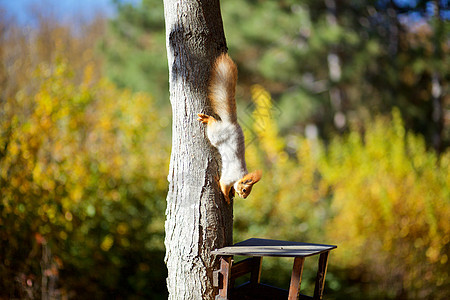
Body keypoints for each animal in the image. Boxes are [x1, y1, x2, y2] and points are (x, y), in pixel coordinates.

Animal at [196, 54, 260, 204]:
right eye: (245, 189)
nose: (244, 197)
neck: (241, 175)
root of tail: (232, 123)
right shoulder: (229, 177)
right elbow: (223, 184)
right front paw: (226, 197)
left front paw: (232, 192)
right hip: (217, 135)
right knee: (213, 127)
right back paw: (207, 119)